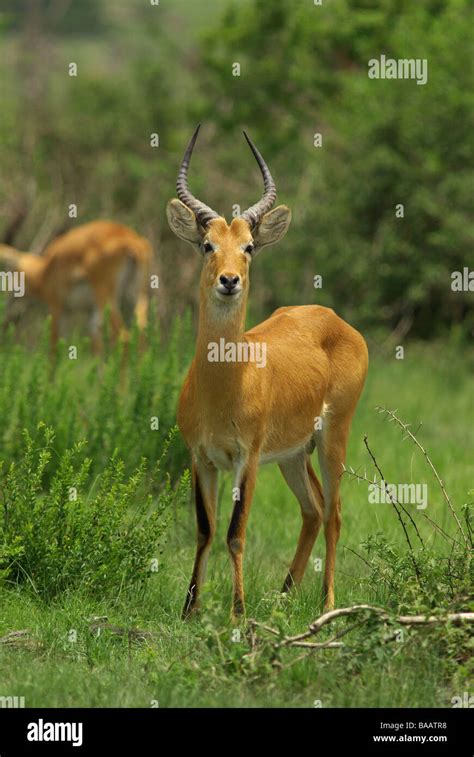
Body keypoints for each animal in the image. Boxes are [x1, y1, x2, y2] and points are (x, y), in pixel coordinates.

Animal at [0, 219, 151, 348]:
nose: (6, 302)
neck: (44, 271)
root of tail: (129, 239)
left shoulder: (56, 307)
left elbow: (54, 348)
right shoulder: (86, 312)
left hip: (108, 299)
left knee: (124, 337)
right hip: (137, 295)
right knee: (141, 331)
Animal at [168, 125, 370, 620]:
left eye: (249, 247)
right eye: (207, 245)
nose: (229, 280)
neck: (225, 384)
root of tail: (334, 318)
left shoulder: (248, 458)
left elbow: (235, 532)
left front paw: (238, 613)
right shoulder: (200, 457)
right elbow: (204, 528)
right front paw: (189, 609)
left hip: (333, 437)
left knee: (334, 513)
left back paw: (326, 604)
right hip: (295, 454)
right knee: (313, 509)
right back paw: (284, 594)